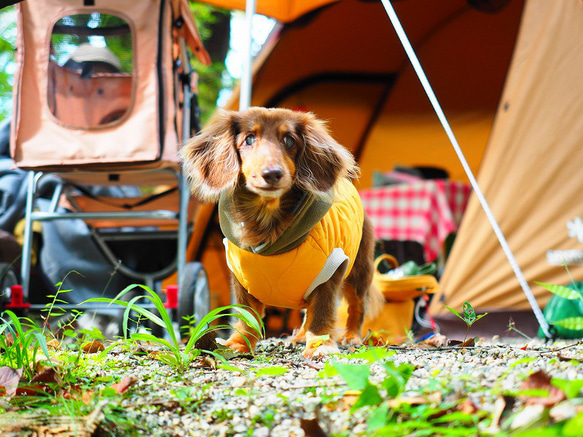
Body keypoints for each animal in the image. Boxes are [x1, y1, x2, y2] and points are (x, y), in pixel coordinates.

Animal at [182, 106, 384, 358]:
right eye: (249, 139)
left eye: (289, 140)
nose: (272, 173)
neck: (268, 224)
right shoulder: (241, 278)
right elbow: (247, 316)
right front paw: (239, 344)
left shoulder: (331, 272)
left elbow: (322, 312)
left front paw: (320, 344)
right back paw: (299, 336)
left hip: (359, 270)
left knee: (356, 305)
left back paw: (351, 336)